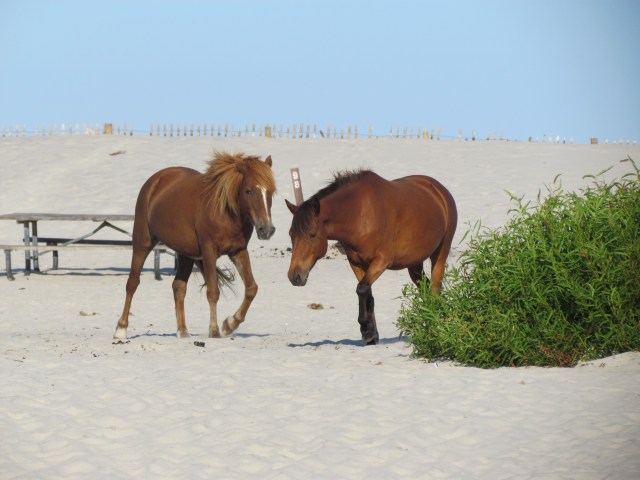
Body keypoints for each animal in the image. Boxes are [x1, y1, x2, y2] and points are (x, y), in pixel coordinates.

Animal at [114, 151, 276, 340]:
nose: (266, 230)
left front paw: (230, 323)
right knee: (132, 283)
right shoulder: (209, 251)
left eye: (270, 192)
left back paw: (183, 331)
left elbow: (251, 288)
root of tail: (155, 181)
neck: (225, 213)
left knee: (178, 287)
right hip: (142, 243)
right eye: (248, 191)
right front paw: (214, 330)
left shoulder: (238, 251)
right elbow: (213, 292)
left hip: (185, 253)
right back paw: (121, 329)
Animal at [285, 169, 457, 345]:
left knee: (434, 290)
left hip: (440, 255)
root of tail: (439, 190)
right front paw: (371, 334)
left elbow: (361, 289)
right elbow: (367, 293)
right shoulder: (356, 263)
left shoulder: (382, 261)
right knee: (425, 289)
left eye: (312, 234)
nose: (294, 276)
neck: (358, 214)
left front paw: (366, 329)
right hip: (414, 264)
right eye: (291, 234)